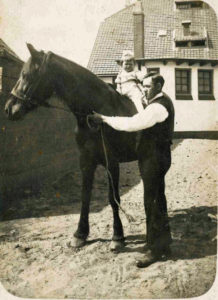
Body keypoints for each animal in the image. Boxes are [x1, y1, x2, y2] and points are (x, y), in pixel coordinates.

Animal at [5, 44, 148, 251]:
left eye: (25, 74)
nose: (9, 108)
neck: (94, 113)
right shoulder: (86, 162)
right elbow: (85, 197)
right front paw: (80, 234)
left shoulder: (111, 163)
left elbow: (113, 199)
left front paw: (117, 236)